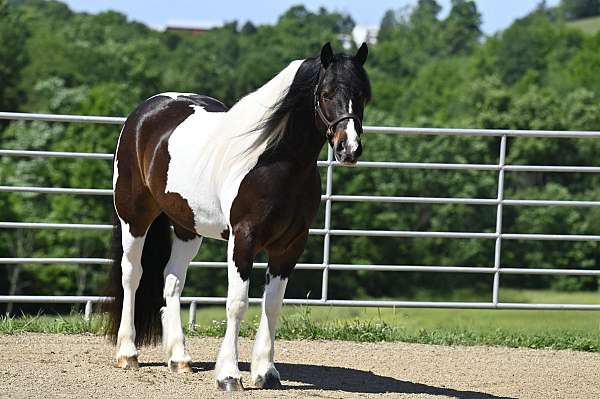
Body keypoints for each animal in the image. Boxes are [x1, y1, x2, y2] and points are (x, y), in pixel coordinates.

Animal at [106, 42, 370, 392]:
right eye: (326, 93)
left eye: (363, 94)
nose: (348, 149)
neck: (274, 161)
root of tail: (146, 111)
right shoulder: (243, 239)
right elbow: (237, 303)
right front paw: (229, 376)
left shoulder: (290, 245)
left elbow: (272, 303)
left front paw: (266, 372)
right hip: (134, 217)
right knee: (131, 275)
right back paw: (128, 353)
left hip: (187, 227)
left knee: (172, 281)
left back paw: (179, 358)